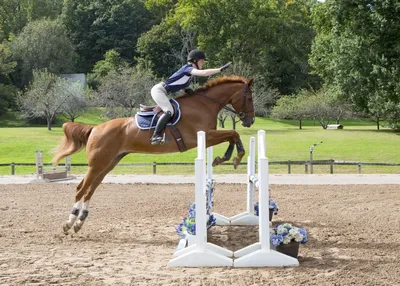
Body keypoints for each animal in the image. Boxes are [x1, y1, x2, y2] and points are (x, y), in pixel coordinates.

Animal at [51, 75, 255, 233]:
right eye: (250, 98)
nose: (250, 121)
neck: (204, 104)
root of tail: (94, 128)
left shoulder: (209, 136)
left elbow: (232, 135)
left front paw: (225, 158)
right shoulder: (204, 136)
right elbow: (233, 133)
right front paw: (234, 157)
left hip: (107, 165)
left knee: (90, 190)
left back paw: (79, 222)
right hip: (97, 165)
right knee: (81, 189)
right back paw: (69, 222)